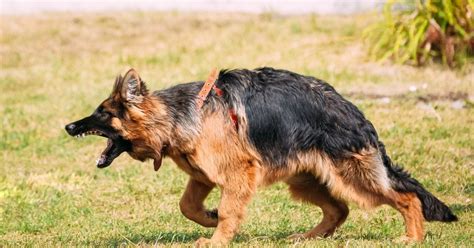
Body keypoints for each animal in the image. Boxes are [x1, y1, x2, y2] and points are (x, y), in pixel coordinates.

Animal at [65, 67, 458, 245]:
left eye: (102, 113)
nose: (68, 126)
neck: (177, 116)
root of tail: (353, 112)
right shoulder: (202, 175)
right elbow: (188, 206)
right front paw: (208, 219)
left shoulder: (236, 173)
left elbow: (227, 210)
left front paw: (217, 238)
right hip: (304, 180)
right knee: (338, 209)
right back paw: (310, 237)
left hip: (351, 176)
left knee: (405, 197)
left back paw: (412, 237)